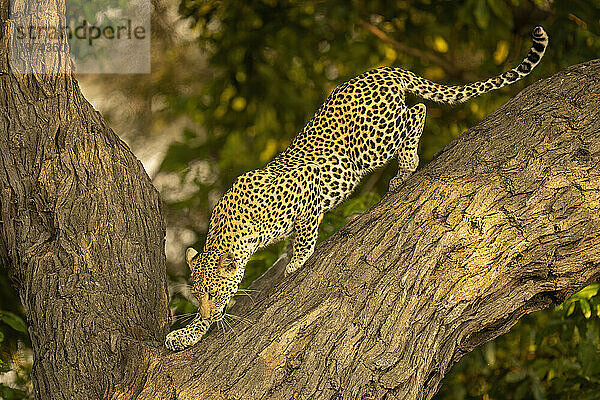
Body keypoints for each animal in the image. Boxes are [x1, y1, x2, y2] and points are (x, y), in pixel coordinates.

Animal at [165, 26, 548, 350]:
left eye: (214, 293)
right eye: (198, 295)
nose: (208, 311)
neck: (234, 229)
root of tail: (382, 70)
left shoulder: (307, 184)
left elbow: (305, 232)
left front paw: (295, 262)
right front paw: (187, 334)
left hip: (370, 144)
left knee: (418, 110)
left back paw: (406, 167)